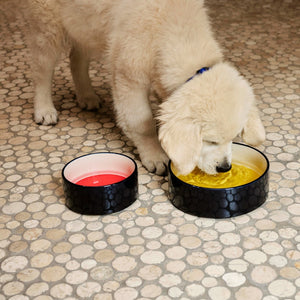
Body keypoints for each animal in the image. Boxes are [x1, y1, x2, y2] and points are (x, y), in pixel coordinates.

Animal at [25, 0, 264, 176]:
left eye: (234, 138)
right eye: (211, 140)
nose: (224, 168)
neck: (174, 30)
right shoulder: (128, 75)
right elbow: (141, 122)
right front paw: (154, 155)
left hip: (85, 24)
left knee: (77, 57)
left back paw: (87, 96)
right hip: (47, 23)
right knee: (42, 69)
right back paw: (44, 109)